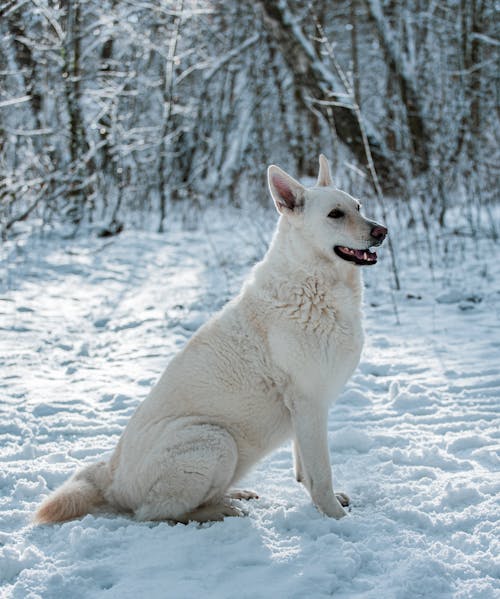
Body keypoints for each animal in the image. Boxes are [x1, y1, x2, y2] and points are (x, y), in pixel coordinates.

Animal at [36, 156, 386, 524]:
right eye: (335, 214)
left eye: (358, 207)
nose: (382, 231)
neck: (314, 286)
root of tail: (110, 478)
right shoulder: (309, 402)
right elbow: (321, 474)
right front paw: (338, 518)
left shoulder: (307, 411)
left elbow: (305, 471)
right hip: (214, 439)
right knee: (157, 513)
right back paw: (223, 510)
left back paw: (234, 495)